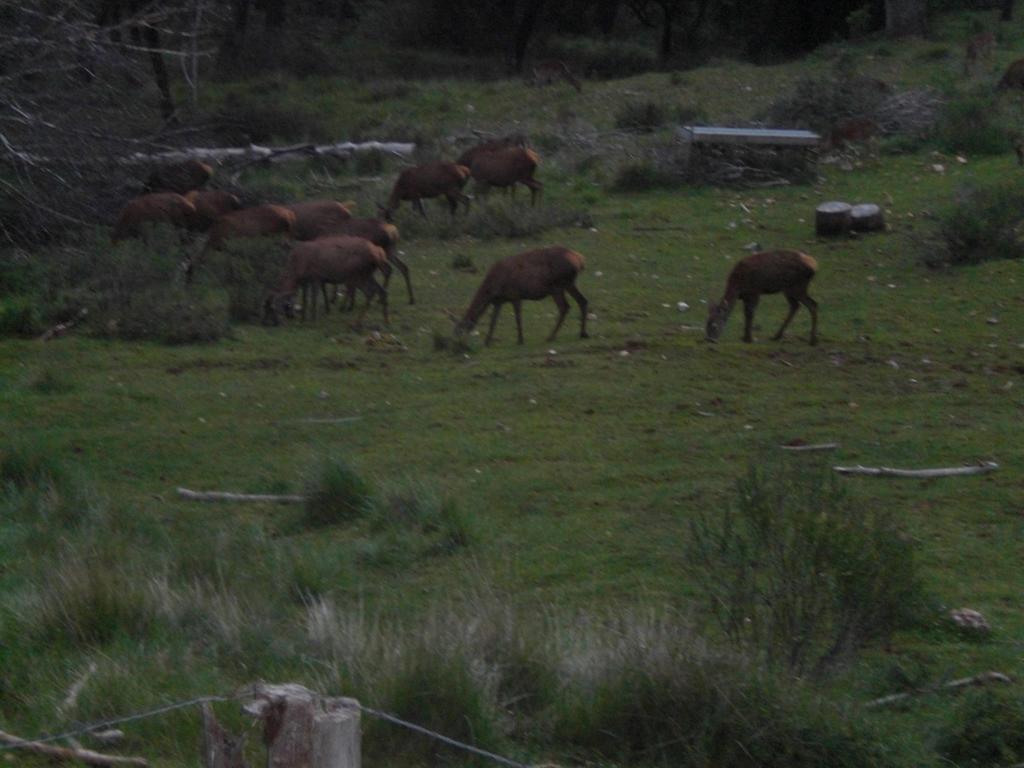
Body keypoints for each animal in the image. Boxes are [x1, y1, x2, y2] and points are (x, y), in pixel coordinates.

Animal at [454, 246, 589, 346]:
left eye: (462, 327)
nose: (459, 343)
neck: (493, 289)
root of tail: (579, 259)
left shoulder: (515, 294)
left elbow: (518, 318)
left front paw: (520, 339)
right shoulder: (499, 301)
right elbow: (493, 321)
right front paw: (487, 341)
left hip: (557, 286)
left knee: (564, 307)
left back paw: (551, 337)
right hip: (569, 284)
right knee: (582, 301)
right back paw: (583, 333)